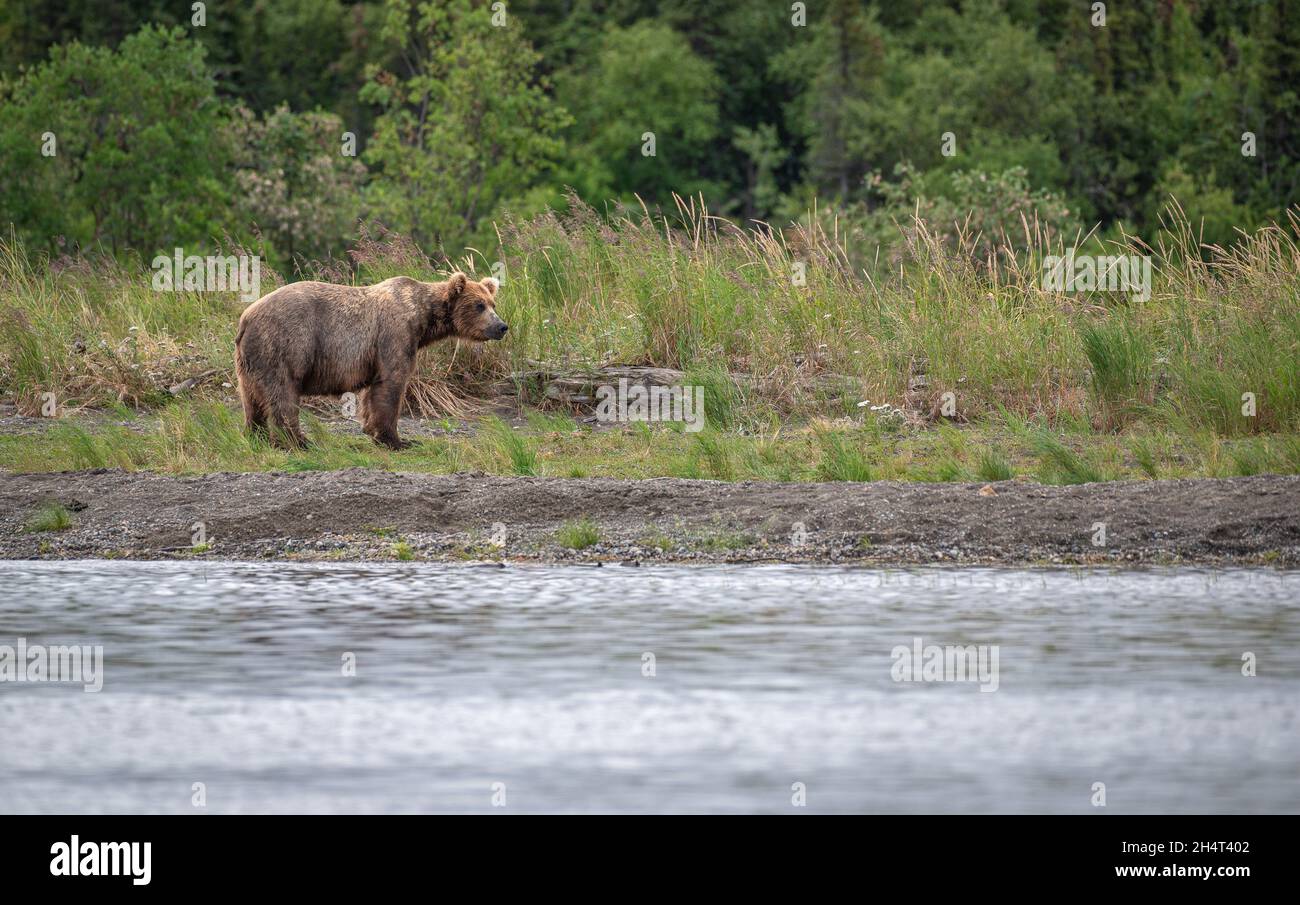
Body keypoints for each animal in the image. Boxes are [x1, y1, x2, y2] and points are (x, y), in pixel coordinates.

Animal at [235, 272, 507, 450]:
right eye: (479, 305)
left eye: (493, 303)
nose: (502, 326)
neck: (424, 318)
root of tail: (246, 317)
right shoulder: (395, 334)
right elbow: (391, 383)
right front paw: (397, 440)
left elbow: (372, 393)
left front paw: (373, 430)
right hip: (286, 344)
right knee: (283, 393)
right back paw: (299, 441)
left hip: (249, 360)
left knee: (251, 398)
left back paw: (256, 434)